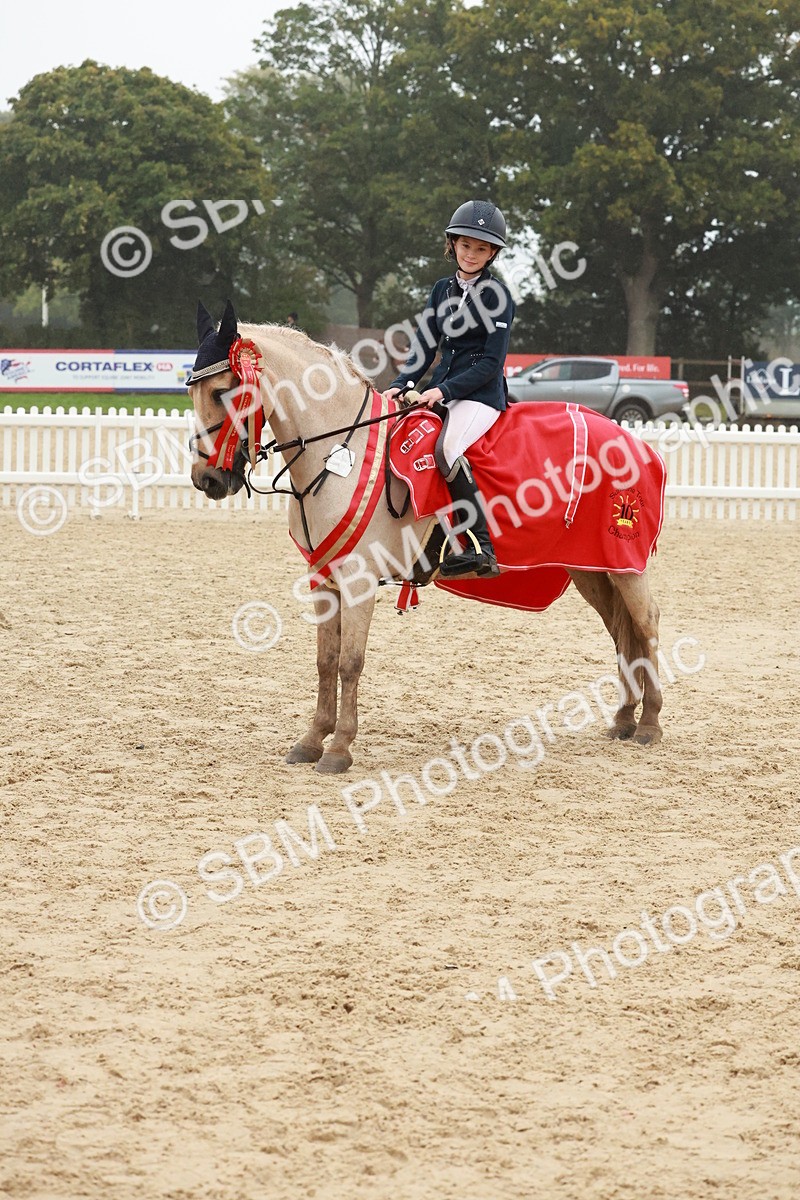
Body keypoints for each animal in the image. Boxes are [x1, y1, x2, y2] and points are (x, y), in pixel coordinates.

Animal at [189, 313, 663, 775]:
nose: (206, 479)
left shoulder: (358, 582)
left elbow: (350, 662)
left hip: (626, 565)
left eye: (224, 391)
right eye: (194, 391)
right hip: (592, 570)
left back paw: (649, 723)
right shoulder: (323, 578)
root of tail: (637, 443)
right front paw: (311, 740)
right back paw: (624, 719)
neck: (339, 451)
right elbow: (325, 661)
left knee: (646, 626)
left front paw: (339, 748)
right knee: (621, 632)